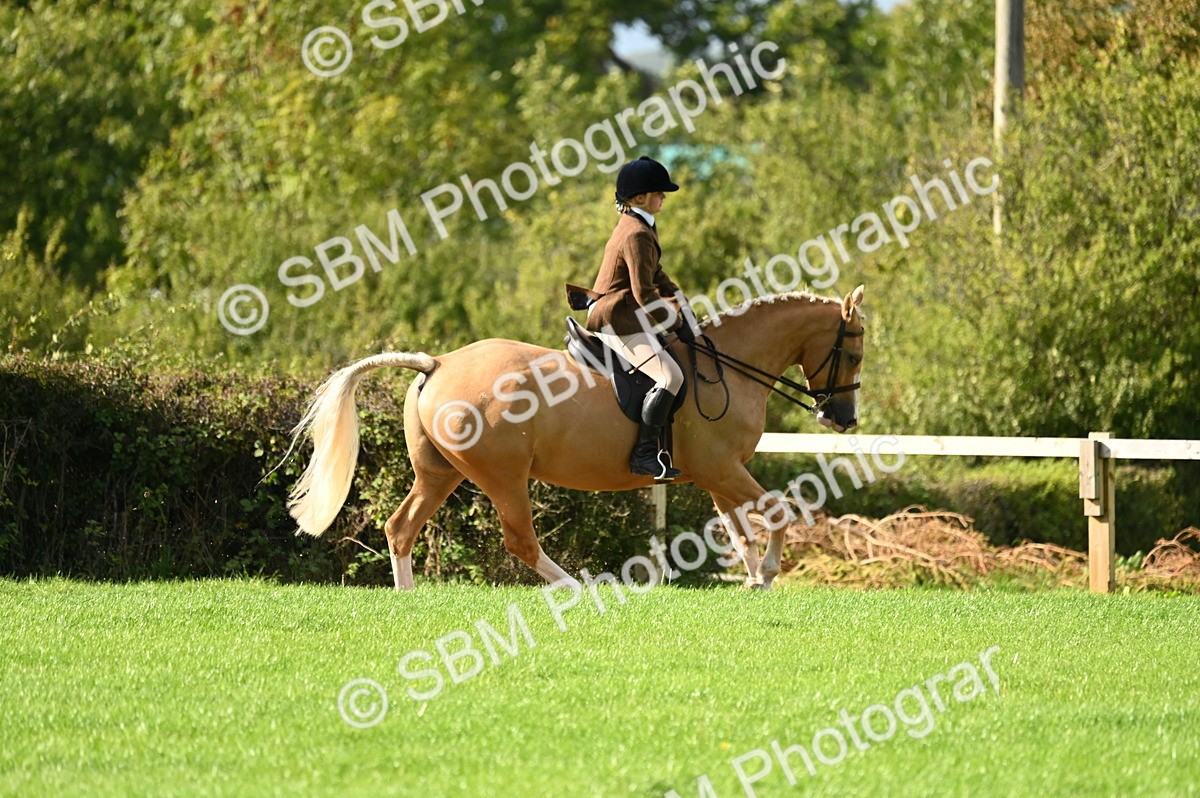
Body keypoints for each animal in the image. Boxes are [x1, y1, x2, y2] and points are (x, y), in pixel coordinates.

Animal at [286, 285, 866, 590]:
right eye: (856, 352)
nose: (842, 419)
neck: (727, 367)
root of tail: (440, 361)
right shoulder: (722, 469)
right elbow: (777, 510)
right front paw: (766, 573)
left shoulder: (718, 475)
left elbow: (741, 529)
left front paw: (754, 580)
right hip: (503, 476)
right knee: (519, 540)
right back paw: (575, 587)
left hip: (440, 473)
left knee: (400, 527)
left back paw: (407, 596)